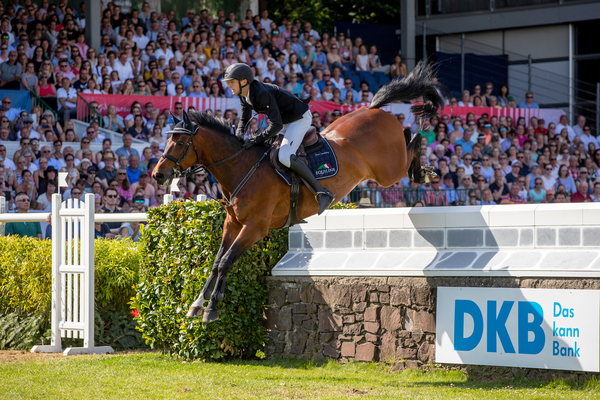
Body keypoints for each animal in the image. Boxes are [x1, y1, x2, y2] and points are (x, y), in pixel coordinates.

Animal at [154, 61, 446, 322]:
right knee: (409, 135)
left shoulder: (255, 228)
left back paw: (421, 170)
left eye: (179, 141)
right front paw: (196, 305)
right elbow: (216, 262)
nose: (158, 175)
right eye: (167, 138)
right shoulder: (232, 223)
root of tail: (373, 108)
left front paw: (212, 309)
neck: (241, 167)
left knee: (412, 138)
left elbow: (226, 261)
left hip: (388, 172)